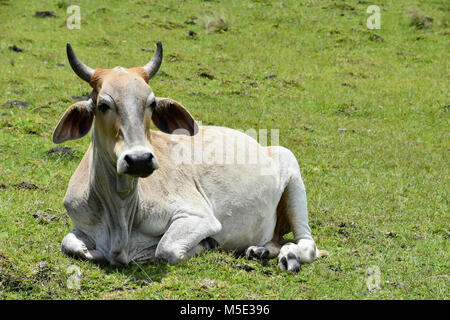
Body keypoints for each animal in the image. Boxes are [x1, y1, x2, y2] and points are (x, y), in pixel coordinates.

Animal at [54, 41, 326, 272]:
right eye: (103, 105)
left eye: (152, 103)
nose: (139, 159)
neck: (120, 211)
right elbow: (71, 245)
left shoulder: (199, 217)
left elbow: (166, 250)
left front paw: (204, 244)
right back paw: (260, 251)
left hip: (293, 174)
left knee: (307, 245)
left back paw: (289, 256)